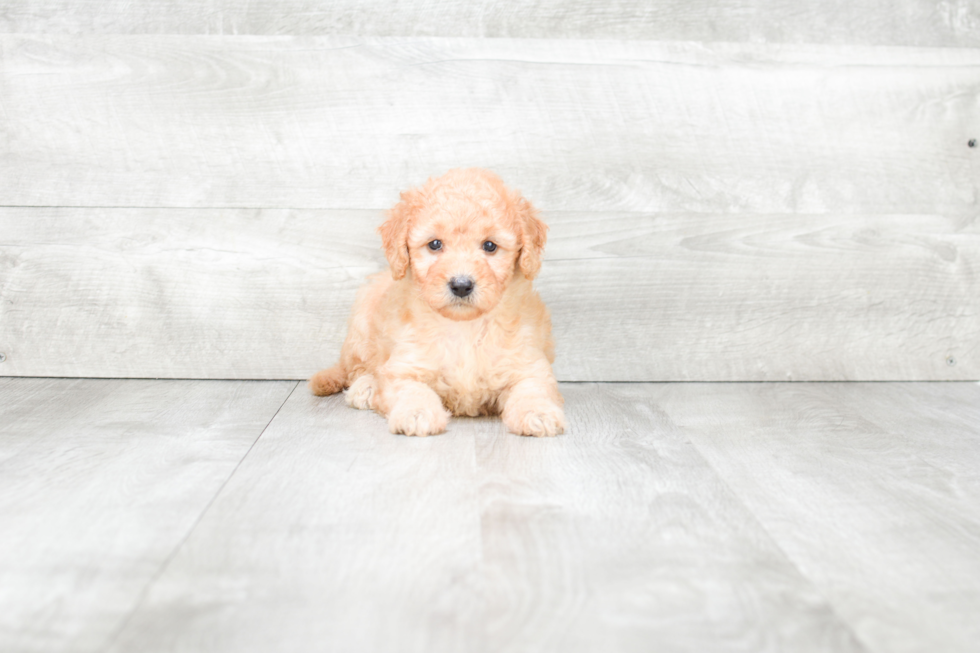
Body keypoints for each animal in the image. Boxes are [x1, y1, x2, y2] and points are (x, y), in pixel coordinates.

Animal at [310, 166, 564, 436]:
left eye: (490, 245)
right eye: (434, 244)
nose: (461, 285)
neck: (464, 326)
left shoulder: (527, 363)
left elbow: (532, 388)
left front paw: (537, 413)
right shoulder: (405, 365)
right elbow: (411, 389)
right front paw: (416, 413)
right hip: (361, 324)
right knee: (357, 368)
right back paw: (365, 387)